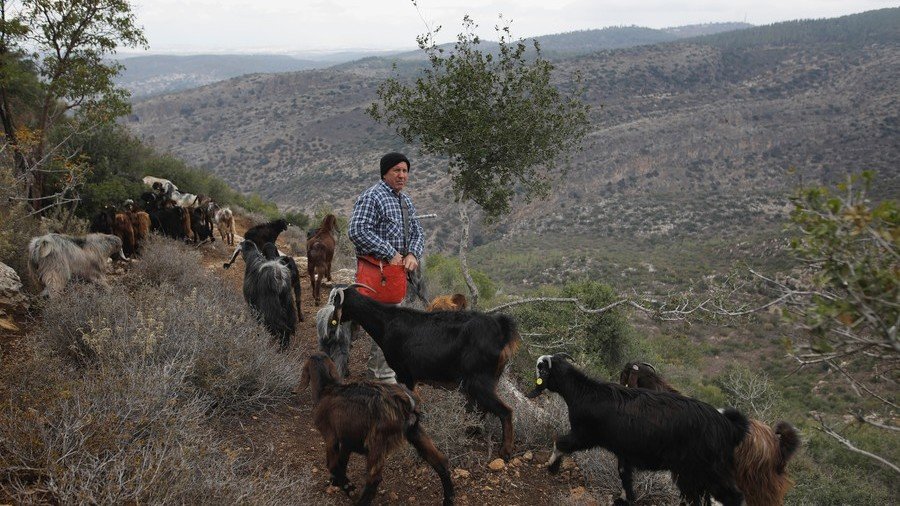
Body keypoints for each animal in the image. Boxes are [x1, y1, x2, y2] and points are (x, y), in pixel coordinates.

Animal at [328, 284, 520, 458]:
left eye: (336, 302)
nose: (332, 322)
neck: (386, 322)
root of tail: (501, 330)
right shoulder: (412, 377)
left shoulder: (404, 373)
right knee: (482, 407)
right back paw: (472, 431)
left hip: (479, 381)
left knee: (504, 411)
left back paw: (504, 450)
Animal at [528, 354, 744, 504]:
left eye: (540, 368)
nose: (533, 390)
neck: (584, 392)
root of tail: (727, 425)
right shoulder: (624, 451)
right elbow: (625, 475)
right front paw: (625, 498)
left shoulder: (585, 435)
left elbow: (561, 442)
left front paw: (552, 467)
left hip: (706, 469)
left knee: (731, 497)